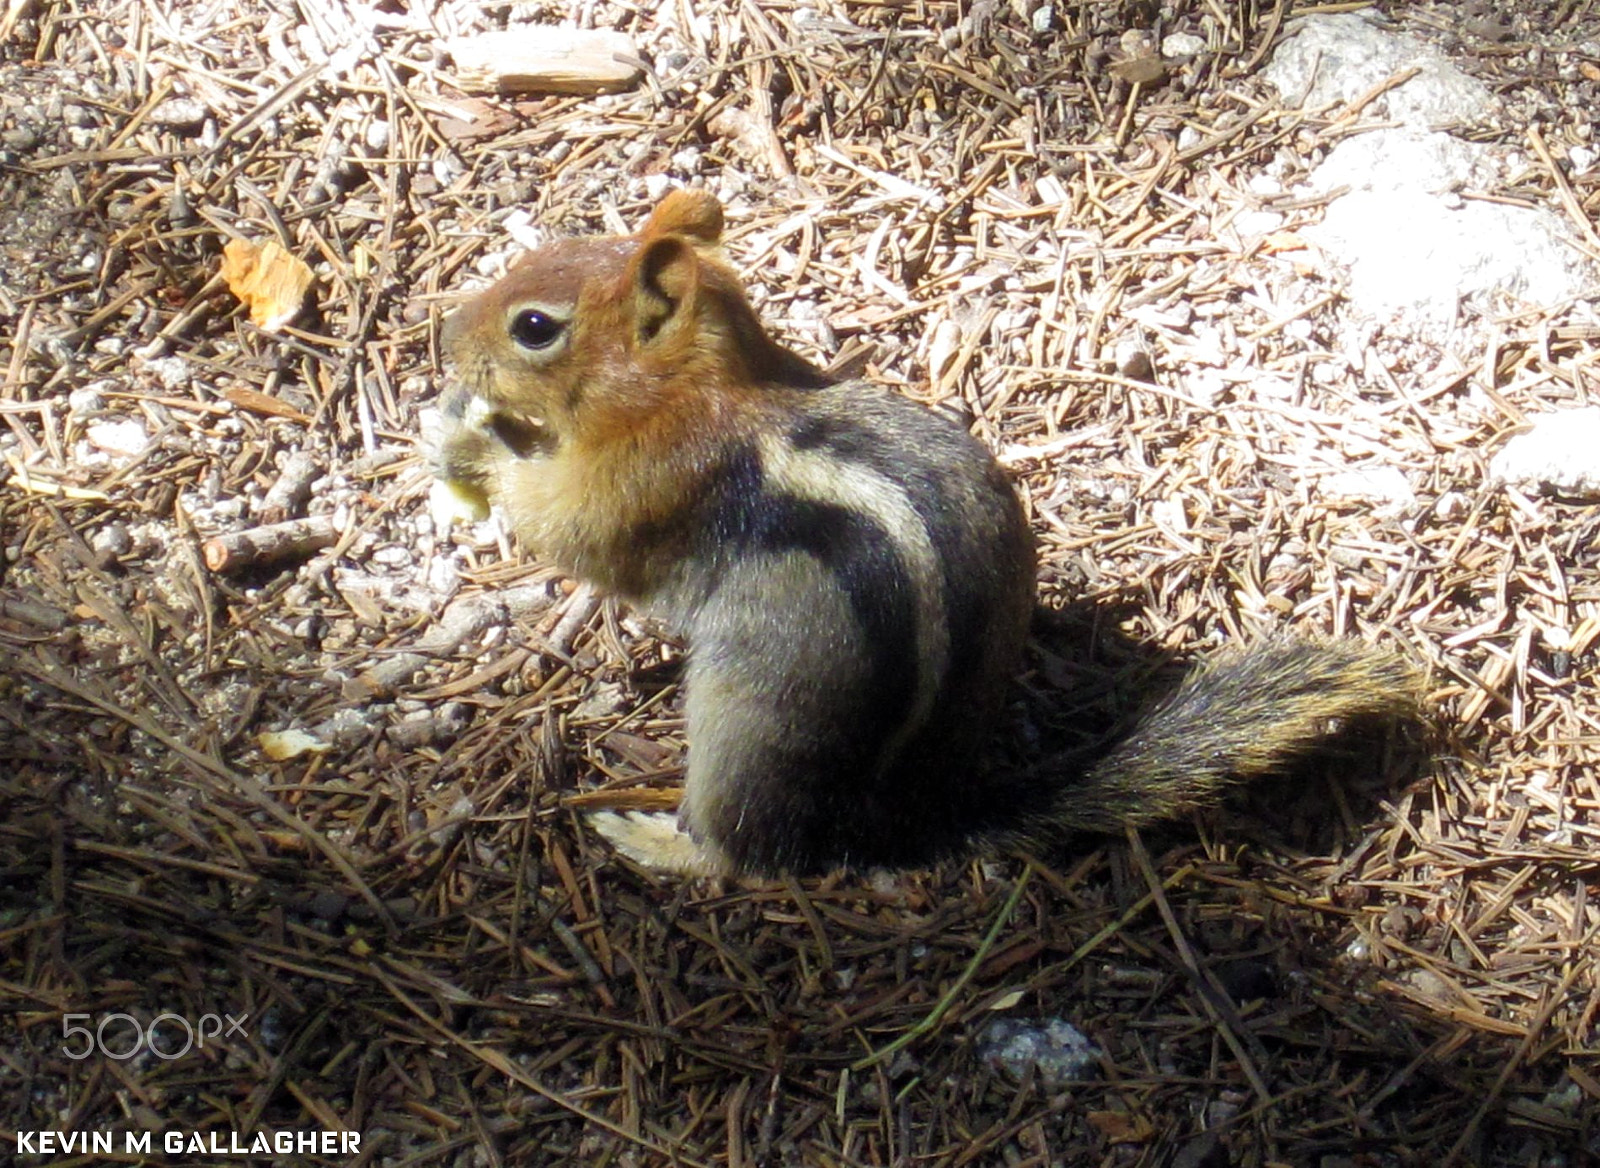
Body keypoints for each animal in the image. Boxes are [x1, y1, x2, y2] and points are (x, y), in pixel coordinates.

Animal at [432, 191, 1420, 876]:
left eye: (534, 327)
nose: (445, 332)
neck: (706, 384)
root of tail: (911, 813)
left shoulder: (649, 480)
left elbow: (565, 528)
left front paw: (469, 443)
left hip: (753, 724)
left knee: (746, 856)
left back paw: (648, 836)